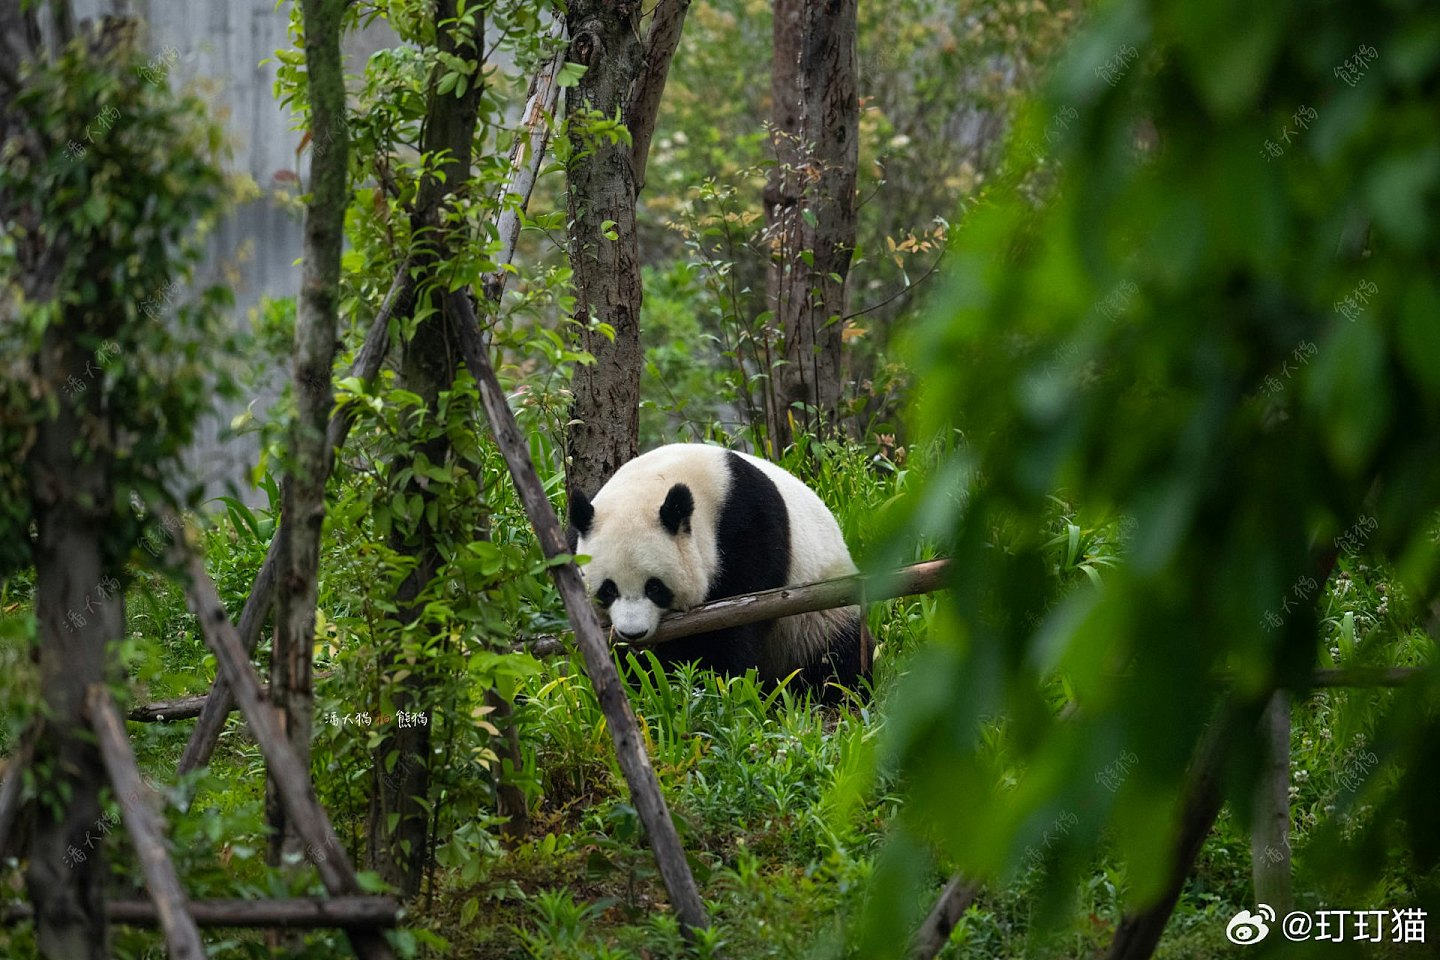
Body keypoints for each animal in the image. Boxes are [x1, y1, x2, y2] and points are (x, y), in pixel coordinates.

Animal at [570, 443, 864, 699]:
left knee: (834, 658)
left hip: (820, 614)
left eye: (654, 587)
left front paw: (707, 681)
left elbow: (730, 622)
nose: (633, 633)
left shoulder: (750, 528)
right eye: (608, 590)